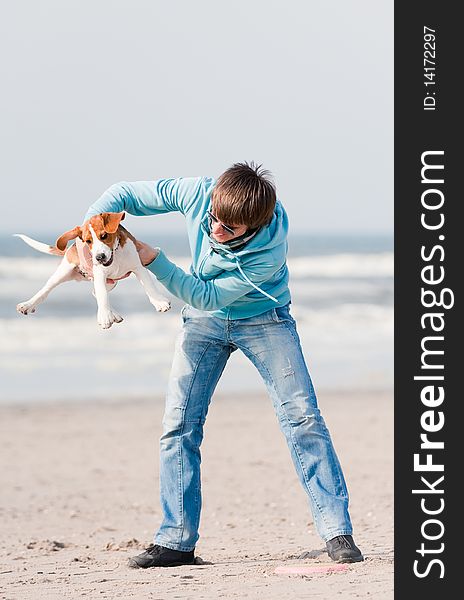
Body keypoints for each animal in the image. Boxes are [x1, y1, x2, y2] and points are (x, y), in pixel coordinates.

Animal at [16, 212, 173, 328]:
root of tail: (71, 247)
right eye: (88, 241)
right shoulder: (100, 274)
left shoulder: (138, 267)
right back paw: (27, 305)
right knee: (45, 290)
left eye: (104, 236)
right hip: (63, 272)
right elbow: (102, 295)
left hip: (111, 282)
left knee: (94, 292)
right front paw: (104, 316)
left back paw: (113, 313)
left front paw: (159, 302)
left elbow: (149, 286)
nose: (99, 257)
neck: (116, 255)